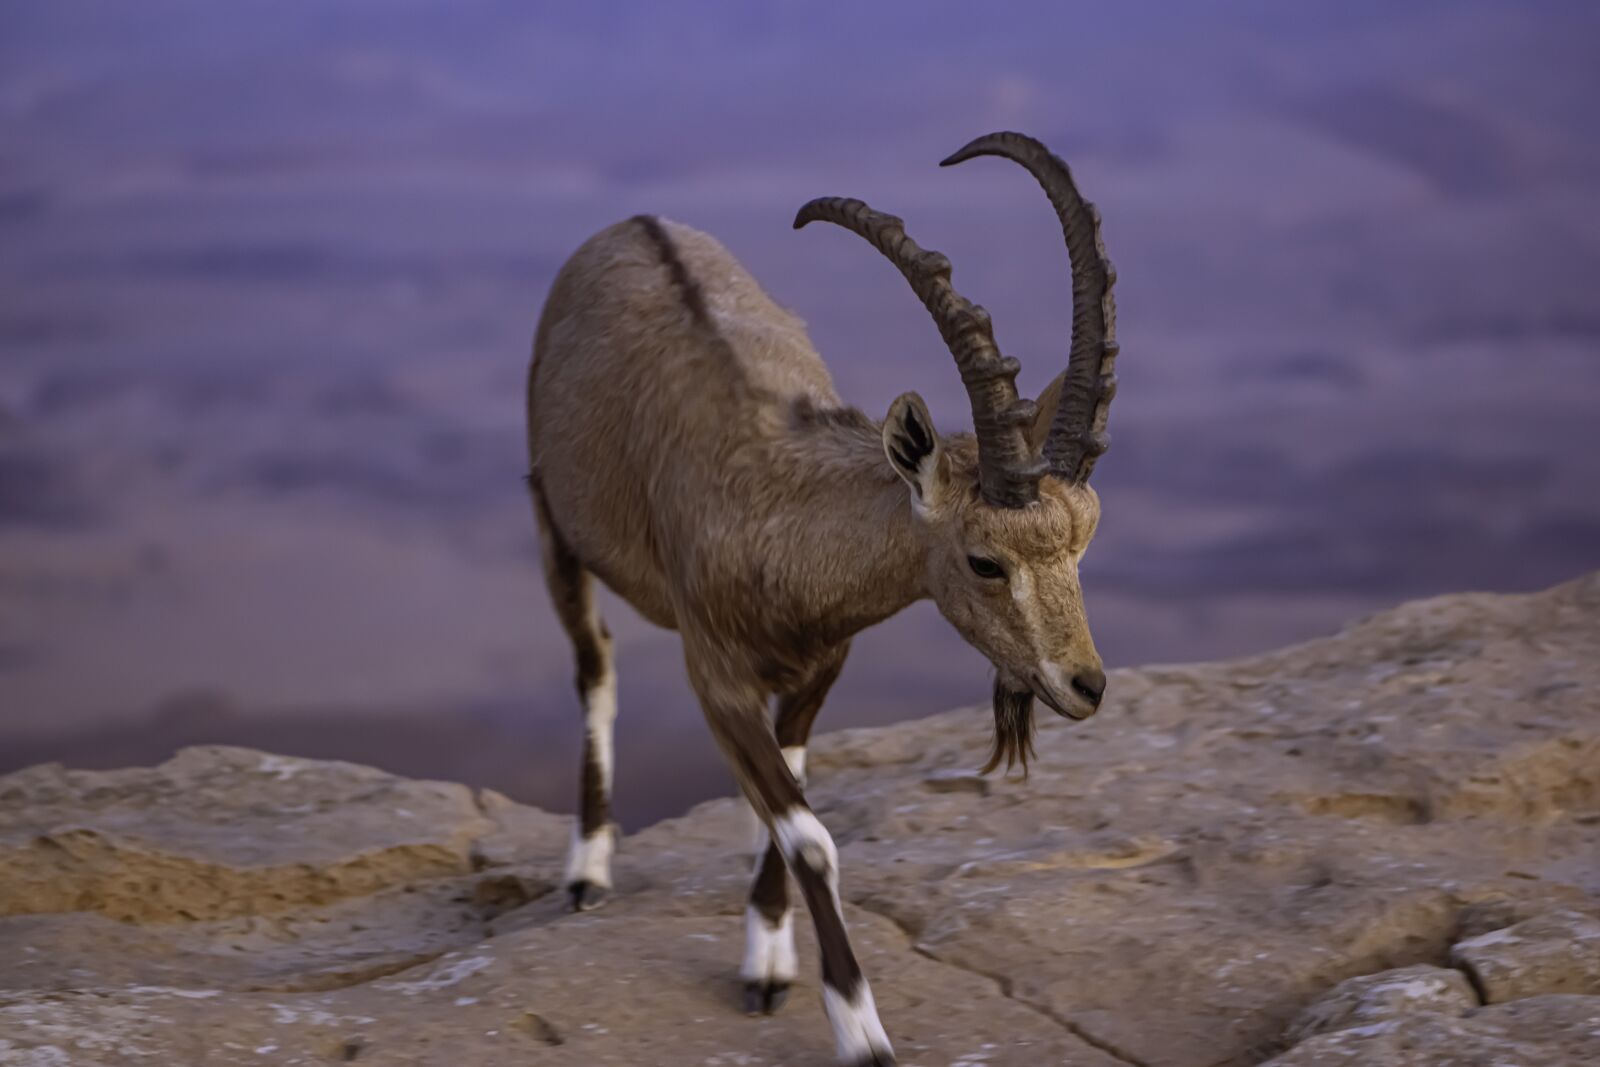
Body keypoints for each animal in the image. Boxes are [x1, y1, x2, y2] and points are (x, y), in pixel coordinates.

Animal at [525, 131, 1118, 1067]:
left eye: (1086, 533)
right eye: (985, 560)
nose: (1084, 684)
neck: (776, 511)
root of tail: (632, 223)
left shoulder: (820, 667)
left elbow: (793, 790)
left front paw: (768, 954)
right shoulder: (716, 676)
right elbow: (810, 834)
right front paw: (861, 1033)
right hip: (554, 520)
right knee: (594, 667)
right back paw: (586, 869)